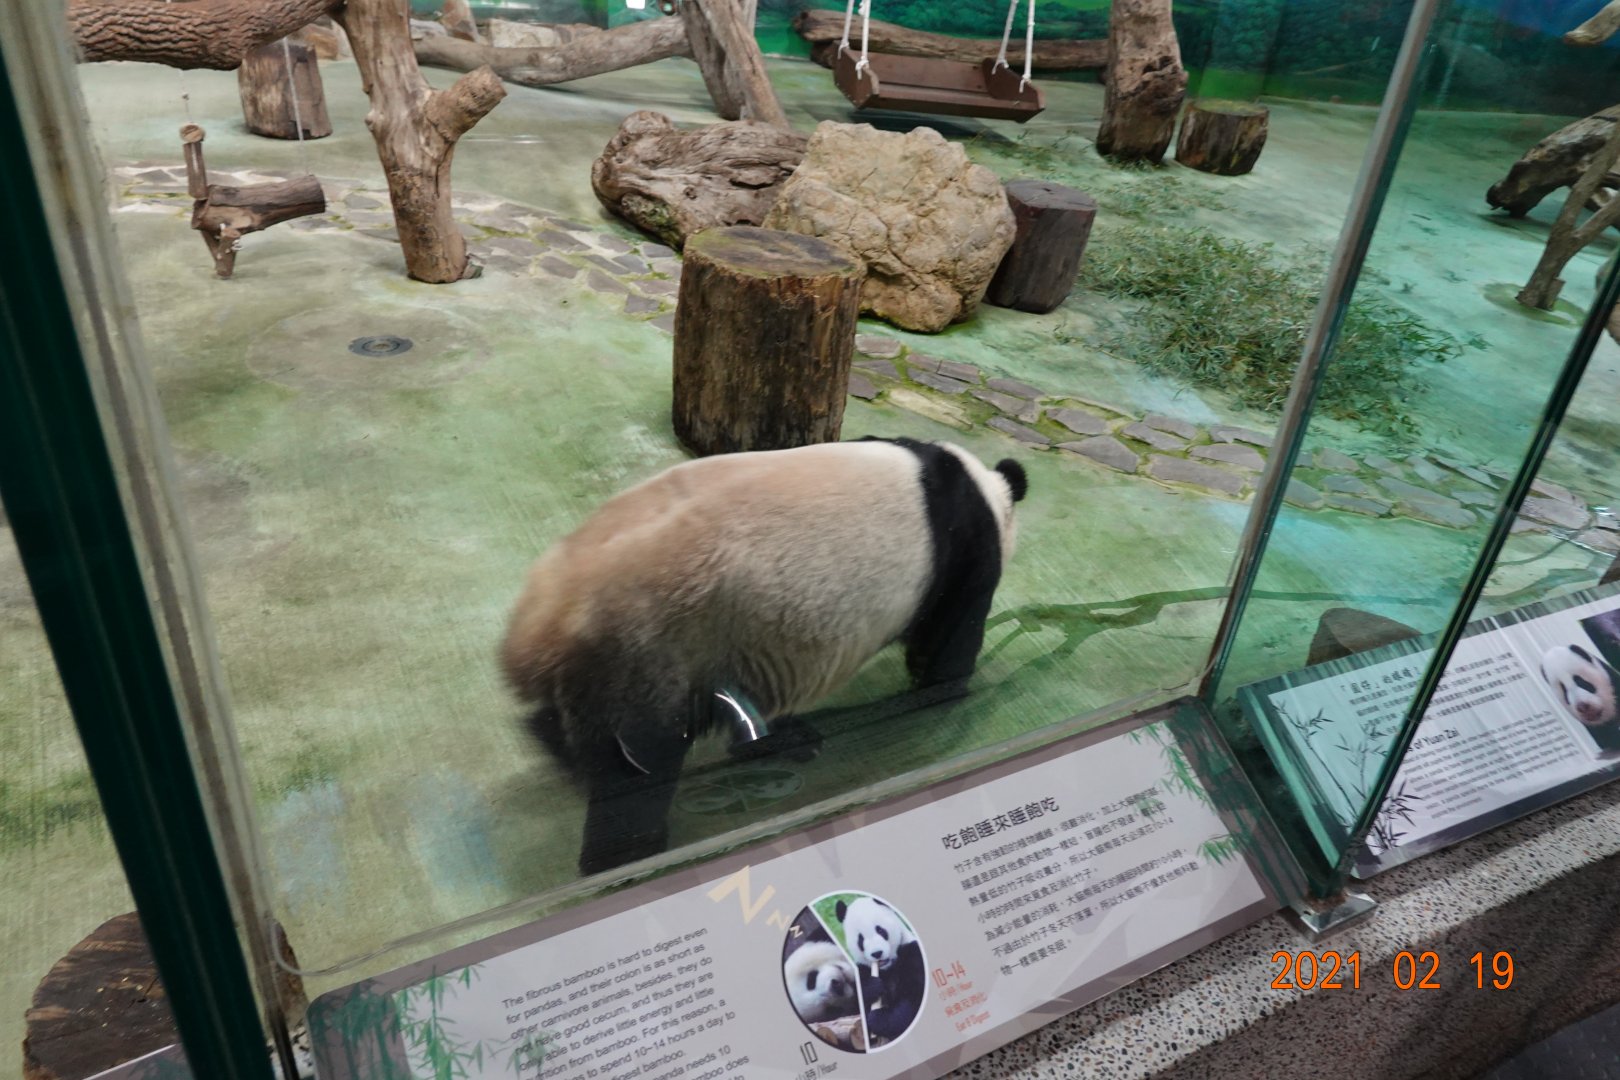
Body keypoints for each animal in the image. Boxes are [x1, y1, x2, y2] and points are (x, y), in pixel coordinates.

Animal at [501, 437, 1028, 875]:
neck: (978, 484)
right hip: (650, 648)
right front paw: (947, 689)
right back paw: (627, 854)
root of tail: (547, 622)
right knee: (640, 766)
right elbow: (949, 639)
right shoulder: (964, 546)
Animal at [835, 896, 925, 1044]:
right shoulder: (861, 968)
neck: (887, 968)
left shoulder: (913, 953)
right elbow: (846, 1011)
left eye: (881, 931)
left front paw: (877, 1020)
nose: (877, 953)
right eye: (861, 939)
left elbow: (914, 997)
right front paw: (871, 987)